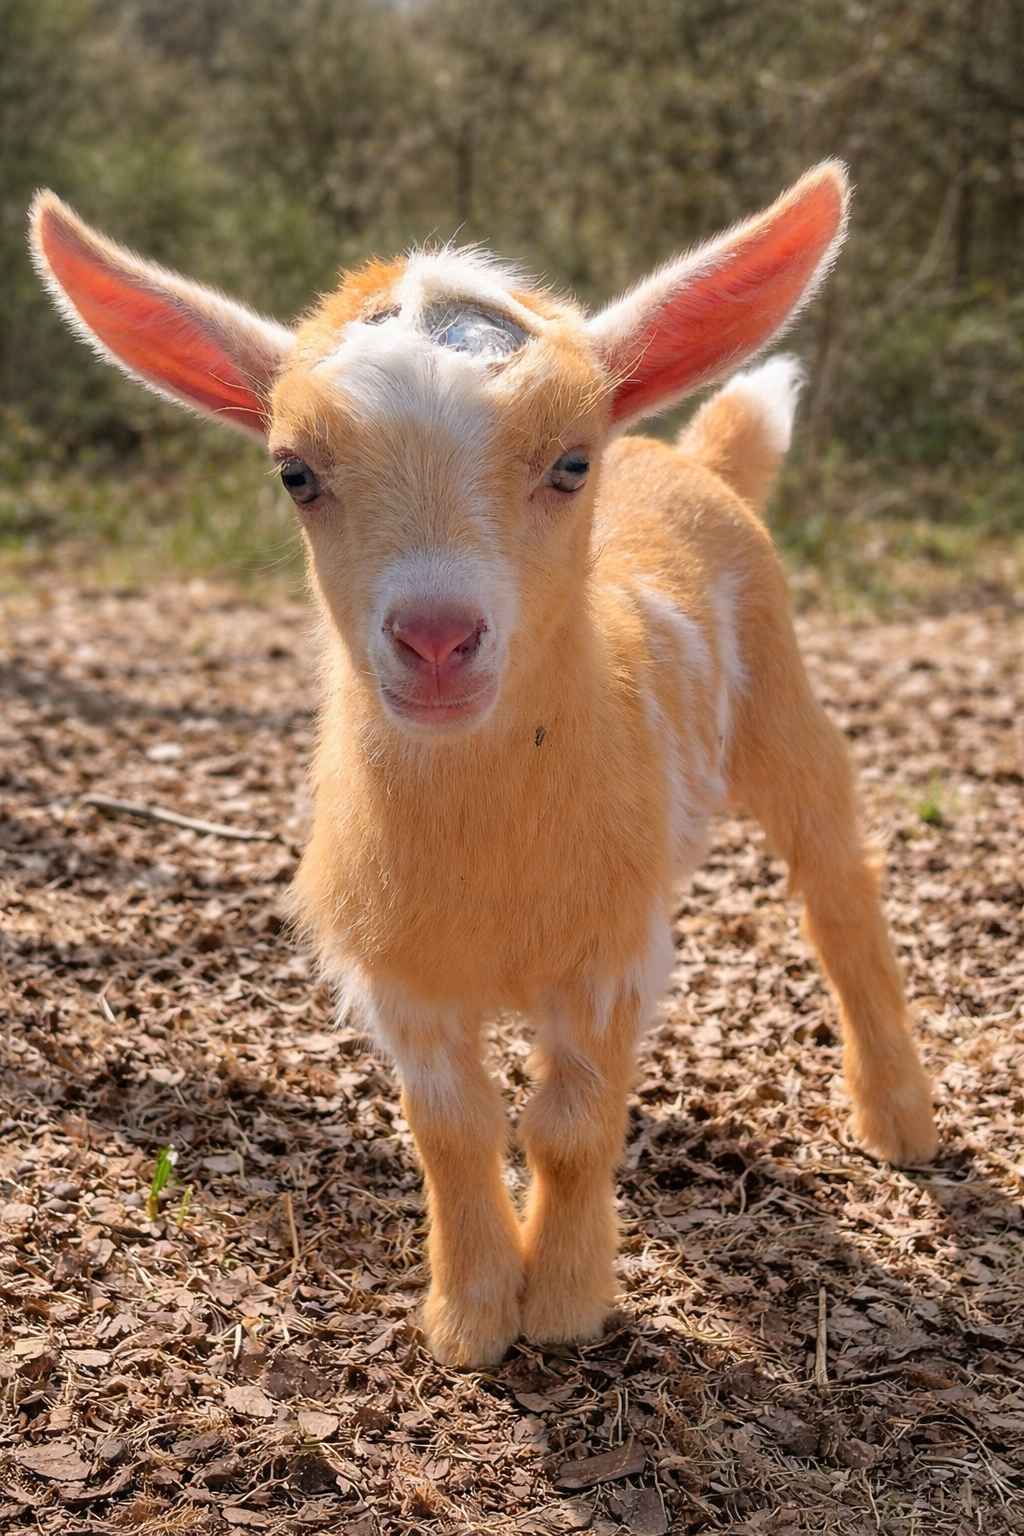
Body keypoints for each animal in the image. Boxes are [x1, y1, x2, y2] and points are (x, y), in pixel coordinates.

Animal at [30, 163, 937, 1368]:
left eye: (569, 462)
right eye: (295, 472)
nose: (435, 637)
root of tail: (690, 458)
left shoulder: (613, 944)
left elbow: (567, 1127)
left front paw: (562, 1310)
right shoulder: (398, 972)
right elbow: (452, 1129)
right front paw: (467, 1319)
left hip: (784, 709)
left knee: (839, 888)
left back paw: (899, 1120)